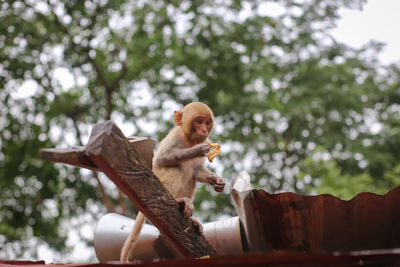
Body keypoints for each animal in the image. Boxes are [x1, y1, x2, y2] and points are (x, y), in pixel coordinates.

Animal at [119, 101, 225, 262]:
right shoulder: (174, 137)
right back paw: (179, 201)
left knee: (191, 177)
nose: (203, 130)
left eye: (207, 122)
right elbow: (161, 159)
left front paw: (217, 181)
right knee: (176, 168)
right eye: (199, 121)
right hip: (160, 186)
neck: (189, 140)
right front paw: (198, 149)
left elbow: (198, 172)